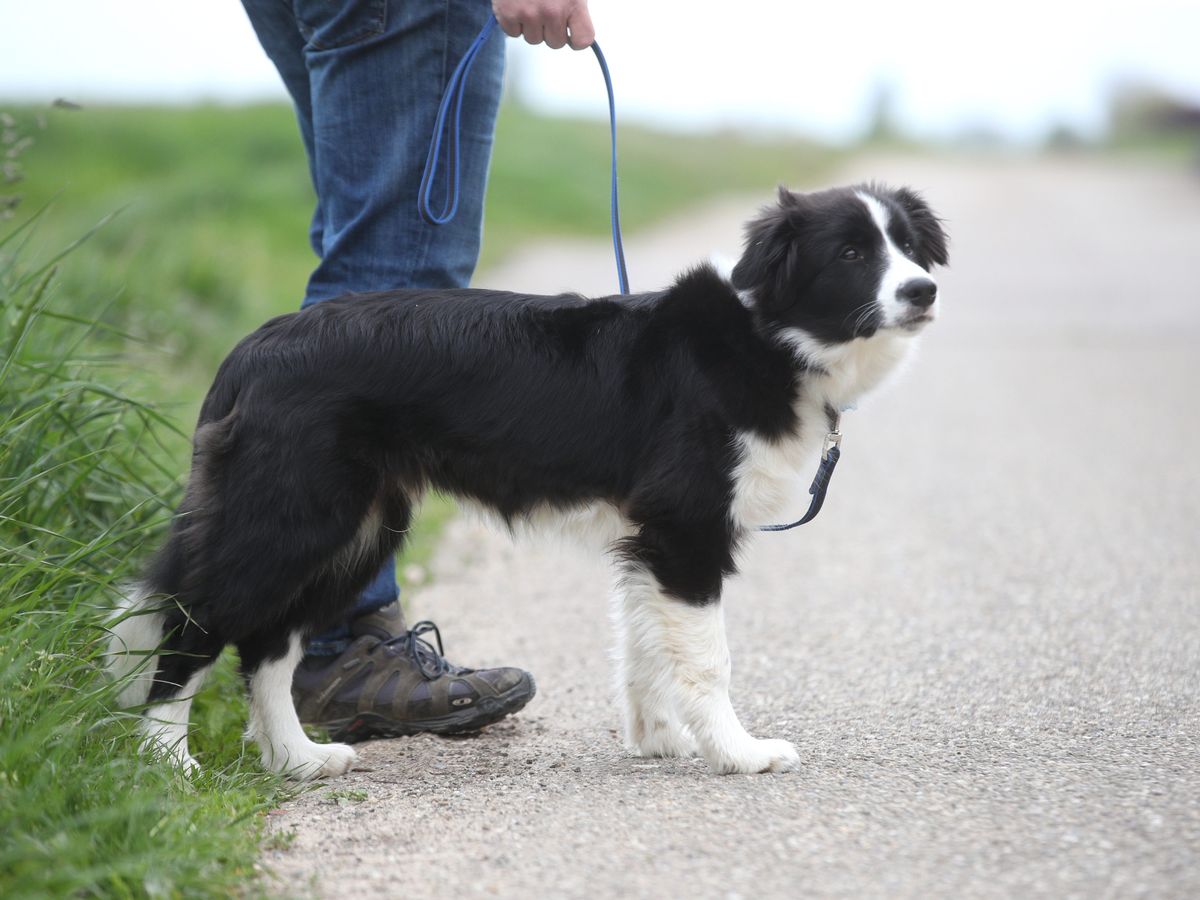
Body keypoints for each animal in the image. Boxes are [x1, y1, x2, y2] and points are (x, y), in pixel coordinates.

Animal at [108, 184, 945, 782]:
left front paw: (656, 740)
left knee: (267, 650)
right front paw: (738, 753)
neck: (767, 336)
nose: (924, 293)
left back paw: (297, 761)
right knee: (195, 627)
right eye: (850, 253)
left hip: (354, 529)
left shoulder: (648, 537)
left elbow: (642, 644)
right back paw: (168, 765)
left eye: (909, 248)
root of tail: (249, 352)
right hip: (292, 520)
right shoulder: (688, 529)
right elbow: (707, 656)